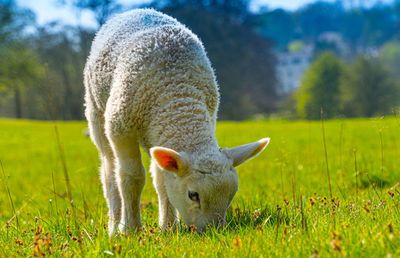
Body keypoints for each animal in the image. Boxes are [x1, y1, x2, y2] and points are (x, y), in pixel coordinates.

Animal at [85, 8, 272, 235]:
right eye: (193, 195)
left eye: (231, 195)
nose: (212, 233)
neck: (178, 96)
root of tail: (138, 10)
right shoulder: (121, 128)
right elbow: (131, 178)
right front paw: (131, 230)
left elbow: (164, 181)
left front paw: (168, 228)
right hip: (97, 112)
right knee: (110, 172)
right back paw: (114, 227)